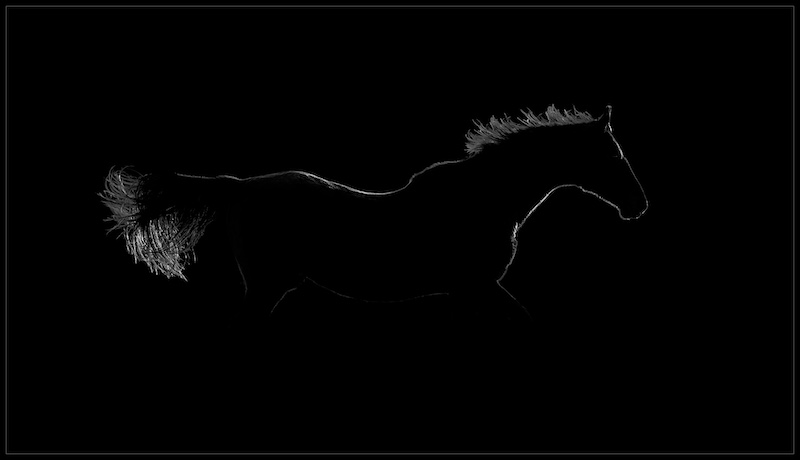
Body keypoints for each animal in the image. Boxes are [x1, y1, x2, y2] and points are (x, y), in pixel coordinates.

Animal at [99, 105, 648, 334]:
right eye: (613, 156)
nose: (638, 205)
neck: (485, 198)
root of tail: (240, 186)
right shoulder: (478, 285)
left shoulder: (466, 291)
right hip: (267, 285)